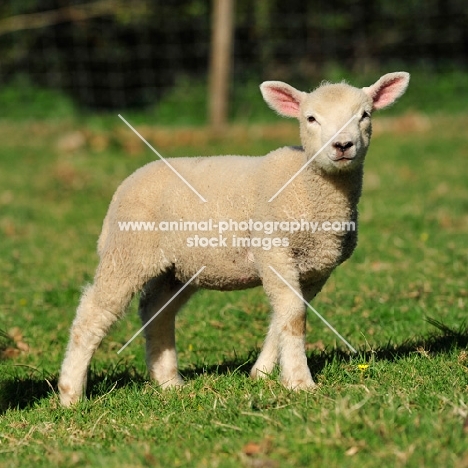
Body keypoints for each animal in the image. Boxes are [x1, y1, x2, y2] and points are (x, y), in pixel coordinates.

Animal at [57, 72, 410, 406]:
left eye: (364, 115)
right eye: (311, 118)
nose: (342, 146)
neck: (309, 187)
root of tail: (127, 182)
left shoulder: (314, 269)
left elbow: (286, 315)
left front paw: (262, 373)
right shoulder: (274, 250)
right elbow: (294, 317)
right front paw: (299, 382)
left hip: (179, 268)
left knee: (156, 311)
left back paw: (169, 382)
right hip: (128, 250)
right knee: (93, 313)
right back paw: (71, 394)